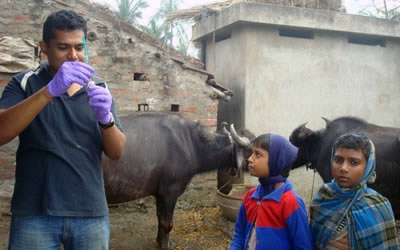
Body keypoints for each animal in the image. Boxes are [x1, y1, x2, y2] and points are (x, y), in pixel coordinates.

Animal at [101, 113, 252, 248]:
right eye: (251, 149)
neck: (191, 144)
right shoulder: (170, 191)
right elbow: (167, 223)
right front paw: (166, 245)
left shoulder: (160, 194)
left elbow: (160, 218)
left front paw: (160, 241)